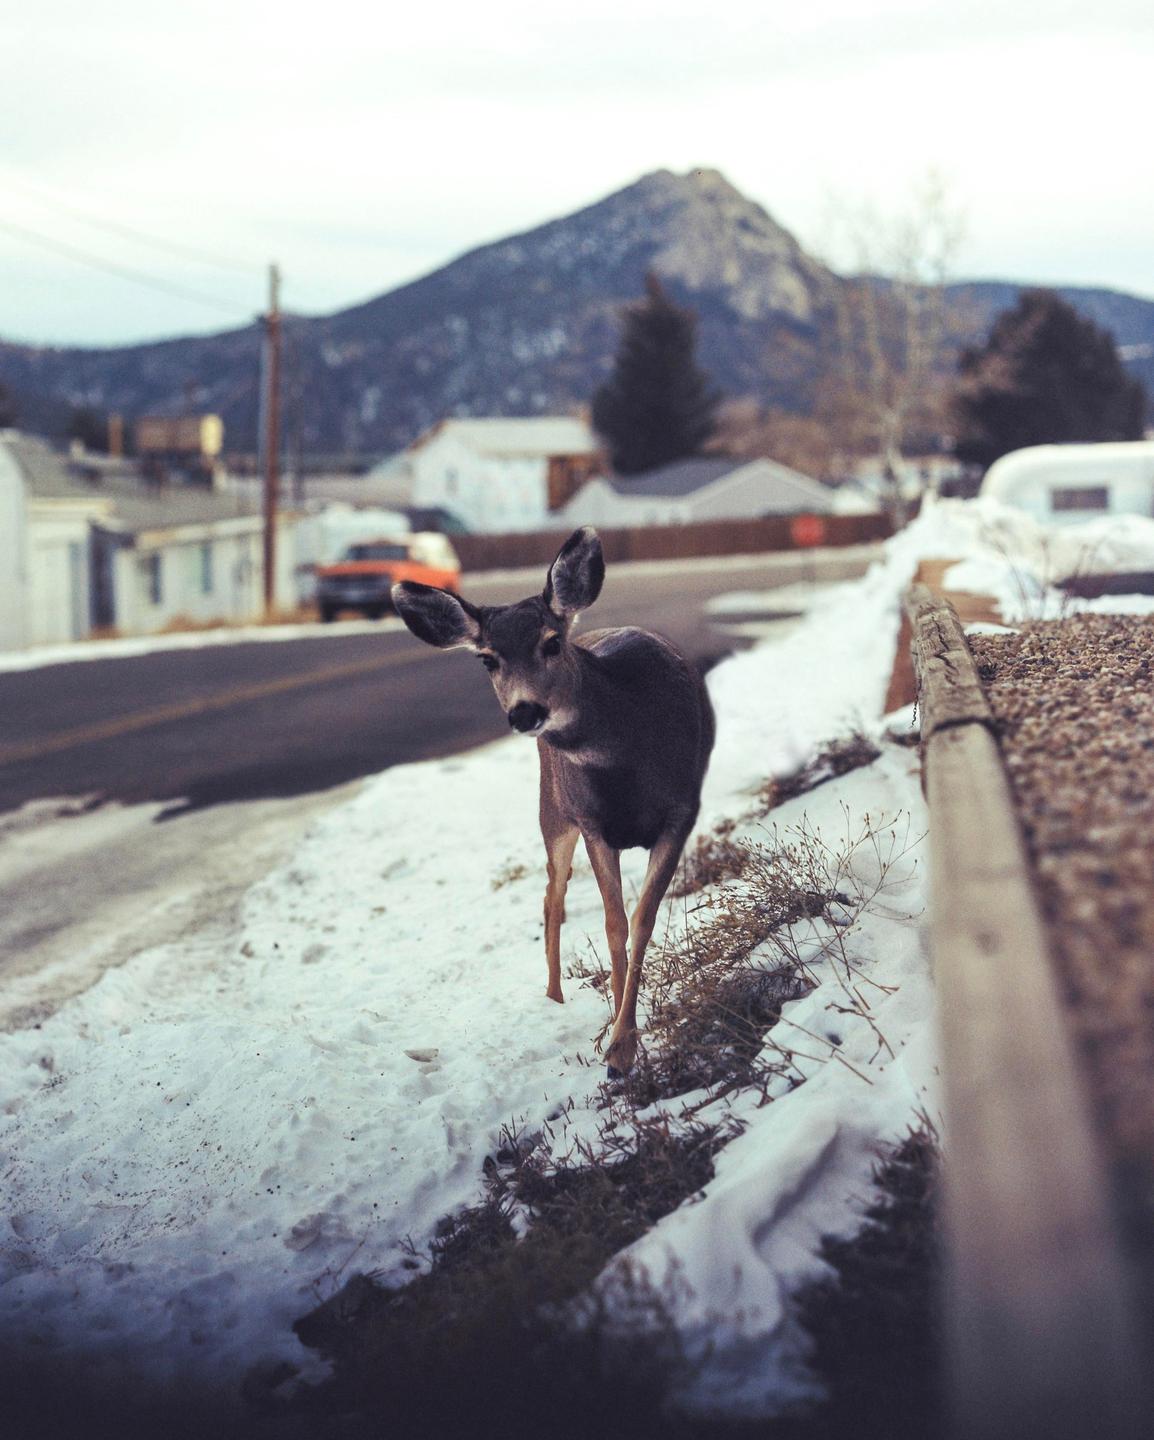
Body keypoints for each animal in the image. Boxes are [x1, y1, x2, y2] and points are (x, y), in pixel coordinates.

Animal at [392, 526, 715, 1077]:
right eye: (487, 658)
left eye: (551, 642)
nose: (524, 712)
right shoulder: (590, 819)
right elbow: (613, 923)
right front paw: (619, 1044)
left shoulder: (681, 810)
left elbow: (642, 918)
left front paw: (622, 1040)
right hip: (551, 809)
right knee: (552, 895)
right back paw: (552, 998)